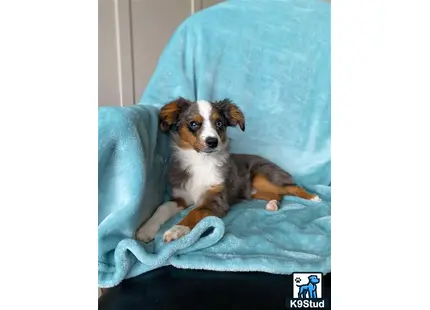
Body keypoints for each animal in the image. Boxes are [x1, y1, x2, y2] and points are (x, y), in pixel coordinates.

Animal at [136, 98, 320, 243]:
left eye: (219, 123)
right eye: (193, 124)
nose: (212, 142)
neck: (201, 162)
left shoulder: (216, 201)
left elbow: (194, 212)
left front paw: (175, 230)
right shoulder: (181, 196)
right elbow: (162, 208)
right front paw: (145, 230)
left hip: (262, 175)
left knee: (292, 187)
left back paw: (313, 197)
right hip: (253, 190)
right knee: (276, 194)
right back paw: (273, 204)